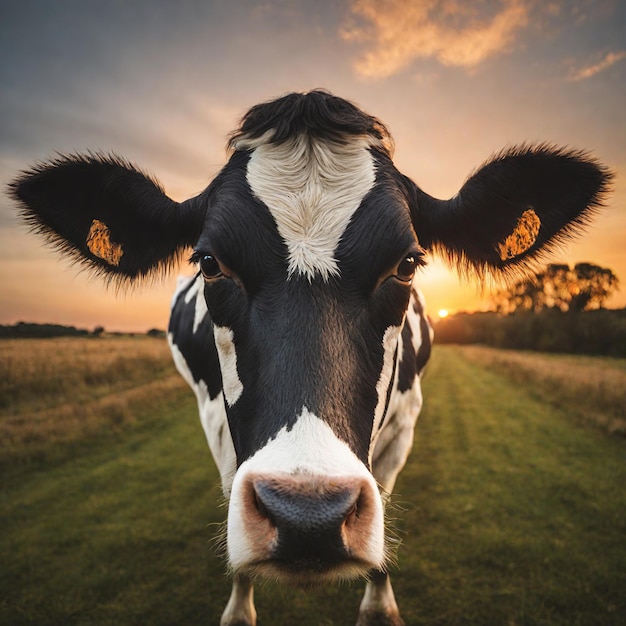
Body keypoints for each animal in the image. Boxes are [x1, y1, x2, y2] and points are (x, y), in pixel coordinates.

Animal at [11, 89, 608, 624]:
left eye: (407, 264)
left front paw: (379, 605)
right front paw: (239, 607)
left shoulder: (405, 424)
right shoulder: (216, 423)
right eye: (209, 263)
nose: (309, 515)